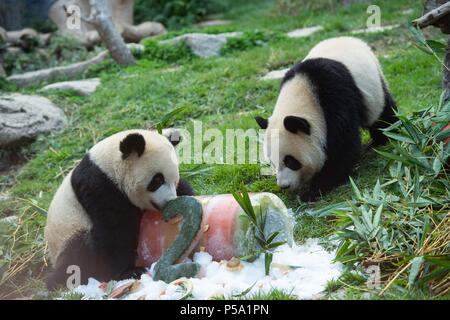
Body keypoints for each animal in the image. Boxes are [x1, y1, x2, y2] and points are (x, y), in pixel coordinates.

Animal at [44, 129, 194, 288]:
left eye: (174, 180)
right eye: (157, 180)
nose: (170, 201)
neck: (109, 167)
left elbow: (184, 188)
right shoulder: (100, 187)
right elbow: (115, 231)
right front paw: (130, 272)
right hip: (68, 234)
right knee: (78, 252)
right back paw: (58, 280)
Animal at [255, 37, 396, 200]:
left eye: (291, 161)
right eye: (272, 163)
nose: (284, 185)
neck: (303, 90)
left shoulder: (336, 96)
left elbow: (343, 146)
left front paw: (313, 190)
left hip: (374, 86)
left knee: (382, 114)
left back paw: (384, 137)